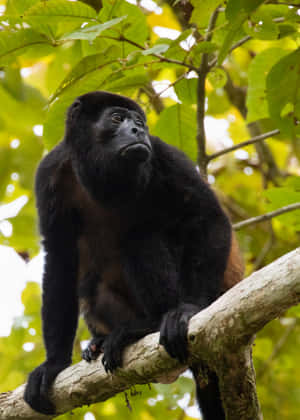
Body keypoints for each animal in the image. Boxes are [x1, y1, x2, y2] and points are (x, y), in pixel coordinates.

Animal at [24, 90, 244, 418]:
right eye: (117, 118)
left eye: (140, 121)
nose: (139, 130)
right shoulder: (49, 173)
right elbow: (60, 256)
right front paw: (54, 364)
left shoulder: (165, 155)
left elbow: (208, 216)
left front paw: (189, 309)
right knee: (91, 284)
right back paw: (101, 340)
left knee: (142, 239)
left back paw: (145, 326)